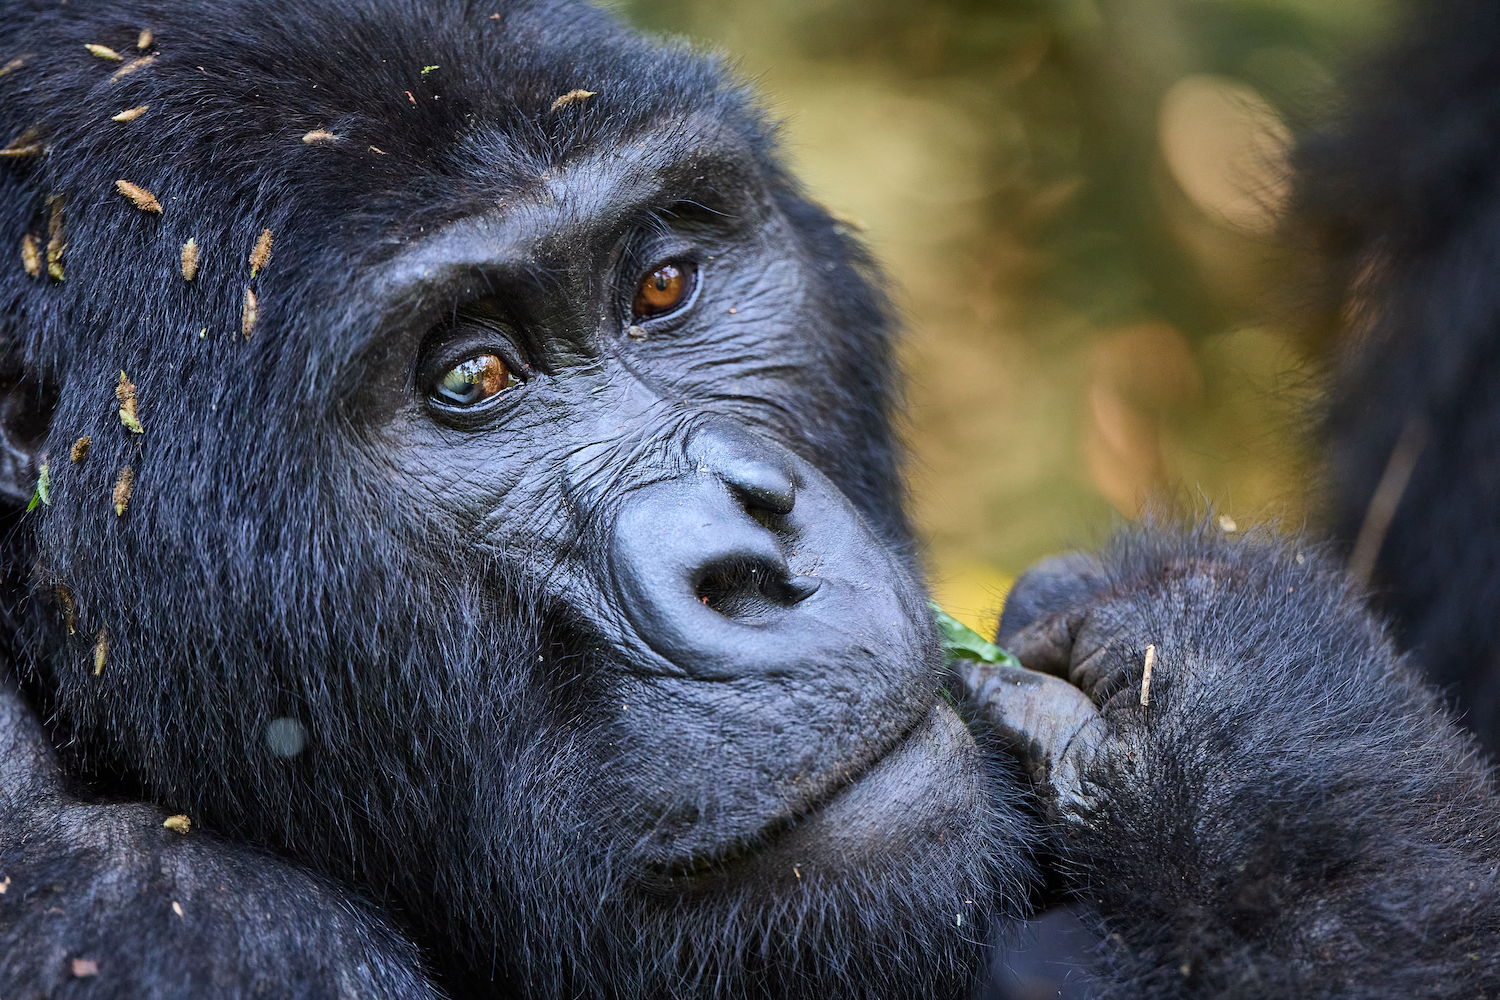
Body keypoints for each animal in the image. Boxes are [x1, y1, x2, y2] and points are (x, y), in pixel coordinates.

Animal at [0, 1, 1494, 1000]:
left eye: (663, 284)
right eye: (471, 379)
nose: (751, 555)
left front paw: (1261, 749)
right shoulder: (168, 926)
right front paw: (1267, 795)